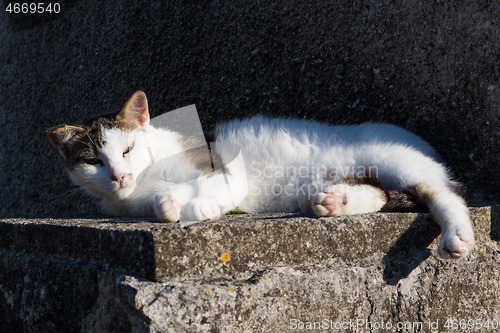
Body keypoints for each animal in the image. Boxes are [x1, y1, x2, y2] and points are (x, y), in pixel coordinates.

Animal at [47, 91, 476, 260]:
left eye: (127, 150)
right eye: (94, 162)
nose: (120, 176)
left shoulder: (221, 166)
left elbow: (215, 186)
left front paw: (200, 206)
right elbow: (158, 200)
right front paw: (168, 205)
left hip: (394, 159)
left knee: (445, 194)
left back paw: (457, 236)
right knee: (382, 193)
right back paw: (337, 201)